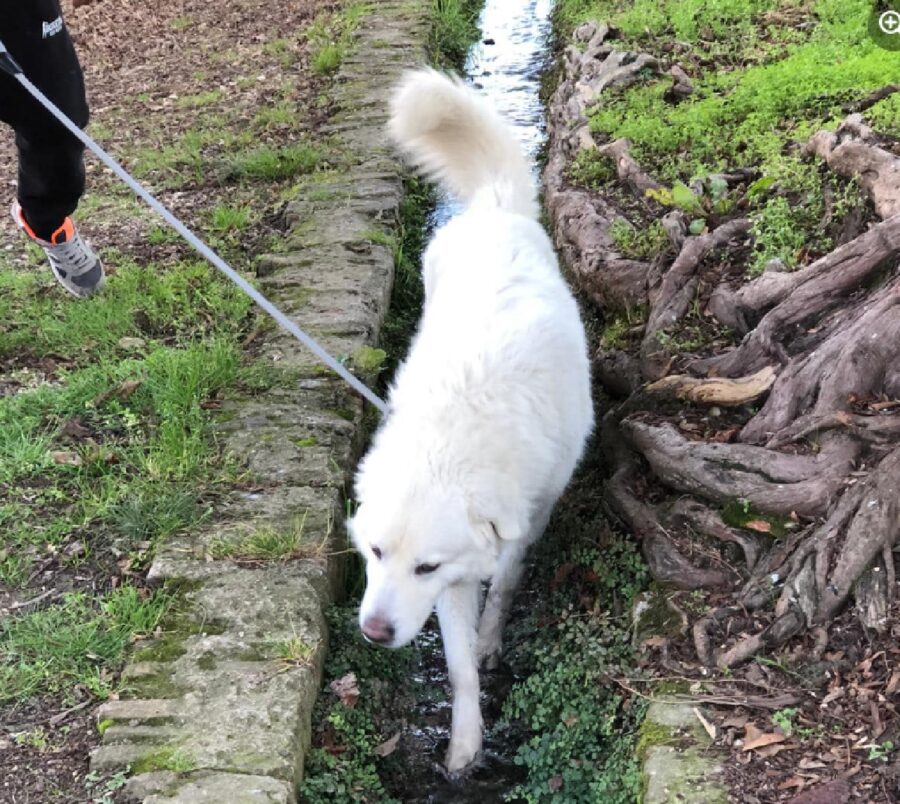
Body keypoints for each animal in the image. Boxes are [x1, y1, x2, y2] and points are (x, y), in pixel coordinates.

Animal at [348, 70, 596, 772]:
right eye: (376, 552)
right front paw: (465, 742)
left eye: (424, 568)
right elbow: (456, 668)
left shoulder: (525, 521)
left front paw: (490, 639)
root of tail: (494, 208)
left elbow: (504, 588)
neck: (457, 433)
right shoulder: (456, 582)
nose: (374, 632)